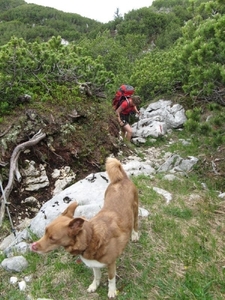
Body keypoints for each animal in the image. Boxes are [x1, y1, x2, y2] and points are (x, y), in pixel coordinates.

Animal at [30, 157, 139, 298]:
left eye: (53, 238)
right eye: (45, 231)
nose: (33, 246)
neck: (91, 238)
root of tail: (121, 178)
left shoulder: (111, 264)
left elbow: (111, 279)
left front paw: (111, 292)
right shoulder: (94, 264)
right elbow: (96, 276)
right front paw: (94, 286)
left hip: (135, 209)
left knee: (135, 223)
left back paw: (135, 235)